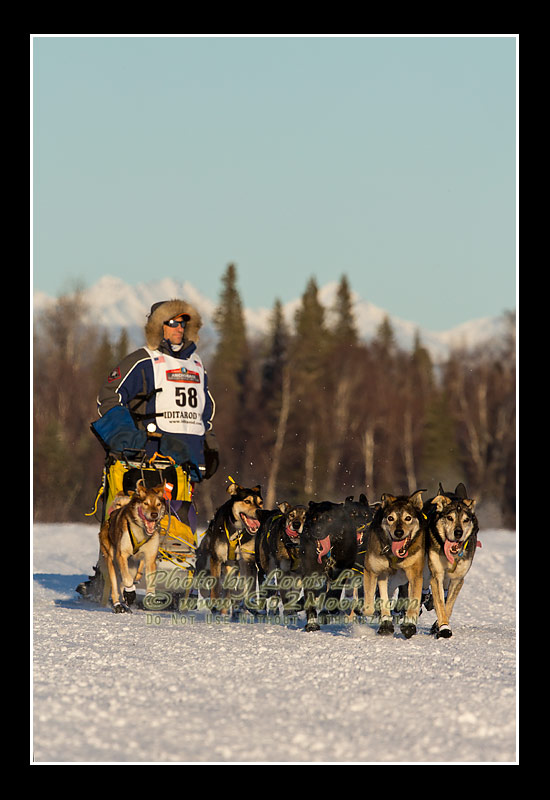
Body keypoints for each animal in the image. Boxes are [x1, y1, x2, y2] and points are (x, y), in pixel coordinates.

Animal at [99, 478, 167, 616]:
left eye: (158, 504)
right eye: (146, 503)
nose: (154, 514)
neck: (141, 531)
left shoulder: (150, 558)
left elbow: (150, 581)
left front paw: (150, 597)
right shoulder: (122, 555)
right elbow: (127, 580)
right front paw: (130, 592)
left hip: (132, 566)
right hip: (111, 561)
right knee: (115, 586)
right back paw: (118, 605)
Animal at [364, 488, 430, 636]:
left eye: (408, 518)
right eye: (390, 518)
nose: (399, 532)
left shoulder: (415, 575)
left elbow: (414, 601)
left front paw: (409, 623)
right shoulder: (372, 570)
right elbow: (371, 605)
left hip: (402, 578)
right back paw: (386, 622)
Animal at [424, 482, 480, 636]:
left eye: (466, 520)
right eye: (450, 518)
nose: (458, 532)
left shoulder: (457, 579)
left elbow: (448, 604)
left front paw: (440, 626)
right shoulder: (436, 575)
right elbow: (440, 603)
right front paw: (444, 627)